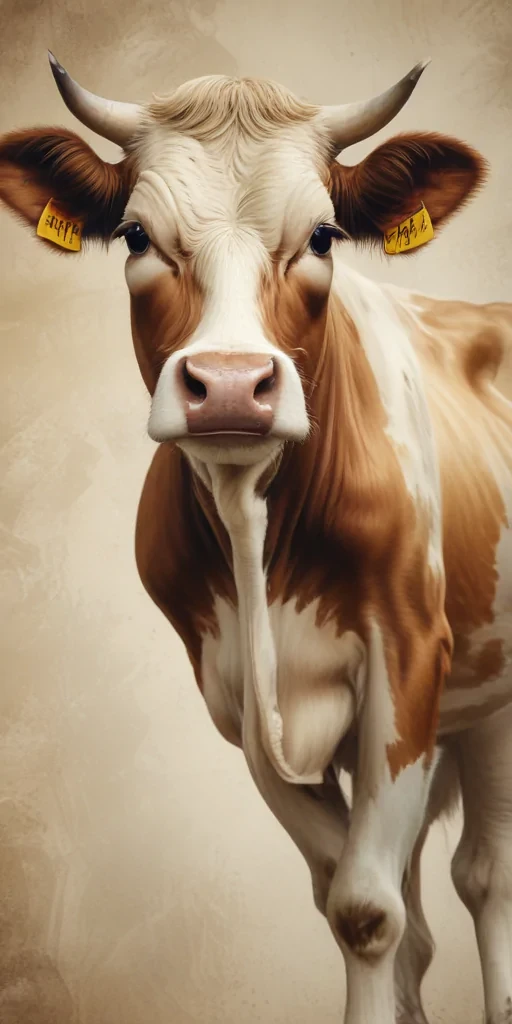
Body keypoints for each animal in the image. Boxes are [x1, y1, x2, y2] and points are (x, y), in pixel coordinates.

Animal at [1, 51, 511, 1024]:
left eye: (322, 237)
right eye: (134, 235)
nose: (232, 385)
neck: (258, 532)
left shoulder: (407, 663)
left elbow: (368, 909)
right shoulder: (234, 686)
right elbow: (354, 896)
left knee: (487, 877)